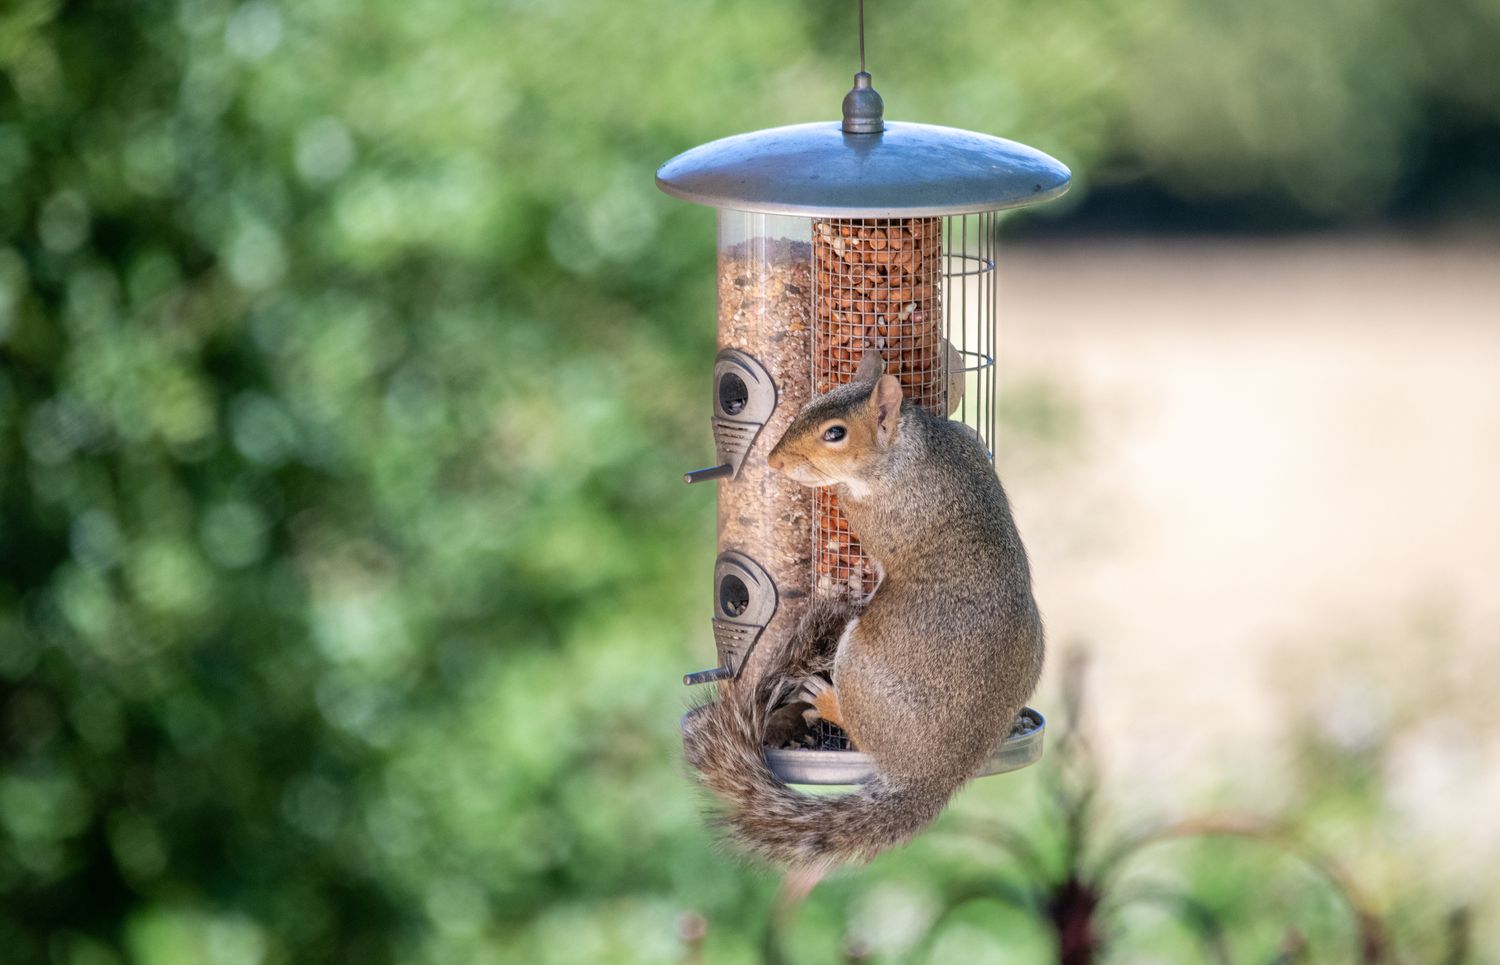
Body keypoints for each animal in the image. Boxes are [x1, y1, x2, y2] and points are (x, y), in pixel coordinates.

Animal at [682, 349, 1045, 869]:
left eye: (835, 433)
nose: (774, 460)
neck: (911, 450)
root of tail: (935, 774)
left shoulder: (883, 511)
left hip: (859, 658)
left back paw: (828, 701)